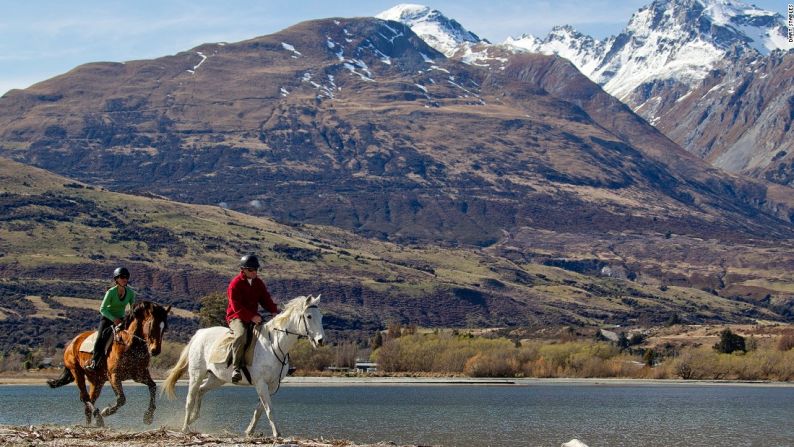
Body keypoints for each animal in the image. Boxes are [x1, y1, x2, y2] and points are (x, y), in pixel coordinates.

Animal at [47, 300, 171, 428]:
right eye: (151, 325)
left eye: (165, 327)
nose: (155, 350)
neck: (130, 344)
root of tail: (71, 343)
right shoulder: (114, 376)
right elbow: (121, 399)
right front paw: (106, 411)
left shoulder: (140, 375)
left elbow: (153, 386)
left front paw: (148, 417)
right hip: (77, 372)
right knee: (85, 397)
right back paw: (99, 418)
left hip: (97, 380)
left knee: (89, 401)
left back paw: (92, 423)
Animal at [162, 294, 324, 438]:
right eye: (309, 316)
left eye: (321, 317)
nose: (320, 341)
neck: (274, 345)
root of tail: (199, 334)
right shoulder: (261, 383)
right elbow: (269, 409)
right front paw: (277, 434)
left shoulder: (272, 385)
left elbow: (259, 410)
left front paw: (249, 431)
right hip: (196, 374)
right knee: (190, 398)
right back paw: (185, 427)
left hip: (217, 379)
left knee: (201, 390)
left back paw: (194, 418)